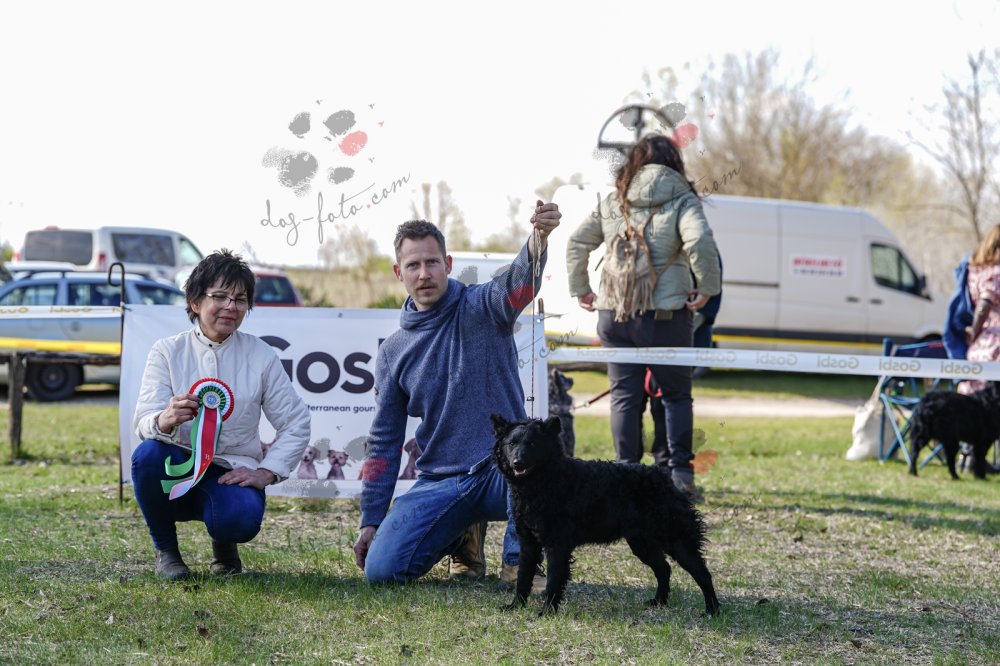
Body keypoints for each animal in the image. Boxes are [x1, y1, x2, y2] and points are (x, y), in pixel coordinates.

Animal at [491, 414, 720, 617]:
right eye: (511, 443)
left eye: (532, 443)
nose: (517, 462)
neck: (544, 481)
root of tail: (663, 476)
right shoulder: (528, 542)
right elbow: (523, 578)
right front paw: (515, 606)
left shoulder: (557, 545)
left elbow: (553, 581)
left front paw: (546, 612)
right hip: (642, 542)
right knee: (664, 569)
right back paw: (659, 602)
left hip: (676, 539)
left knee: (702, 573)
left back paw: (712, 610)